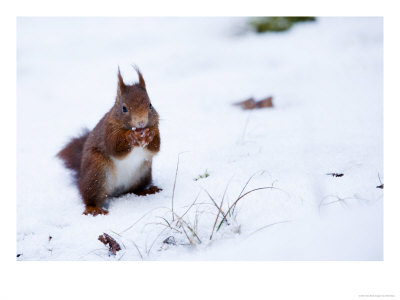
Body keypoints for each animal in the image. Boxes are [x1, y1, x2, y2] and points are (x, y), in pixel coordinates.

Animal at [57, 67, 161, 216]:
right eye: (124, 108)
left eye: (150, 105)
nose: (141, 122)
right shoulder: (108, 131)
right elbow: (115, 147)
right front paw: (131, 136)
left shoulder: (156, 126)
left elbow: (156, 147)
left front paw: (150, 134)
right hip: (97, 172)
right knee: (90, 197)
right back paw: (93, 209)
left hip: (143, 174)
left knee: (134, 190)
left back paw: (147, 190)